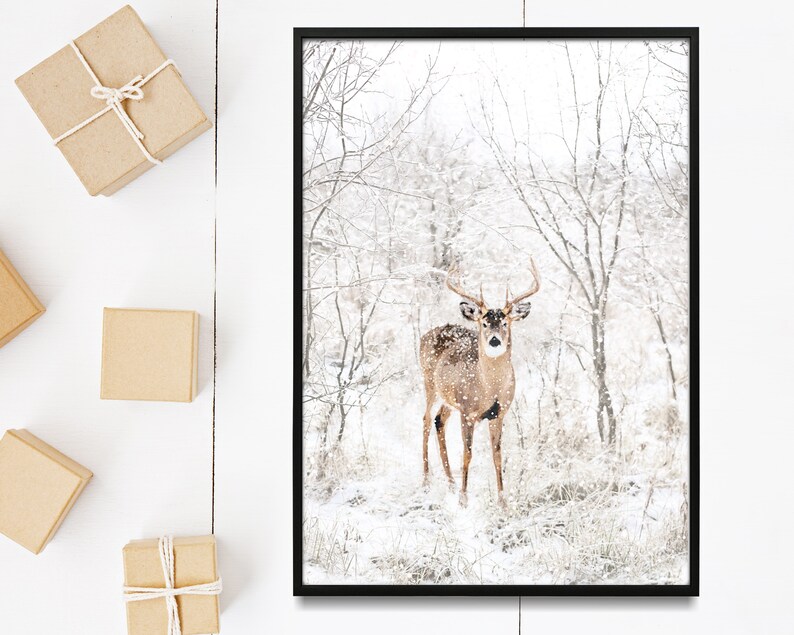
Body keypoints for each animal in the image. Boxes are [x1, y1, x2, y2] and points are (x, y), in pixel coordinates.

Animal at [420, 258, 540, 507]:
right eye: (484, 323)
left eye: (505, 323)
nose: (494, 341)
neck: (489, 388)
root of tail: (425, 335)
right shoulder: (468, 411)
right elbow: (468, 453)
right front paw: (464, 499)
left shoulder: (499, 413)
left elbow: (497, 454)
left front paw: (502, 501)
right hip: (429, 384)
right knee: (426, 419)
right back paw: (427, 481)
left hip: (449, 398)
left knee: (438, 420)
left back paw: (450, 482)